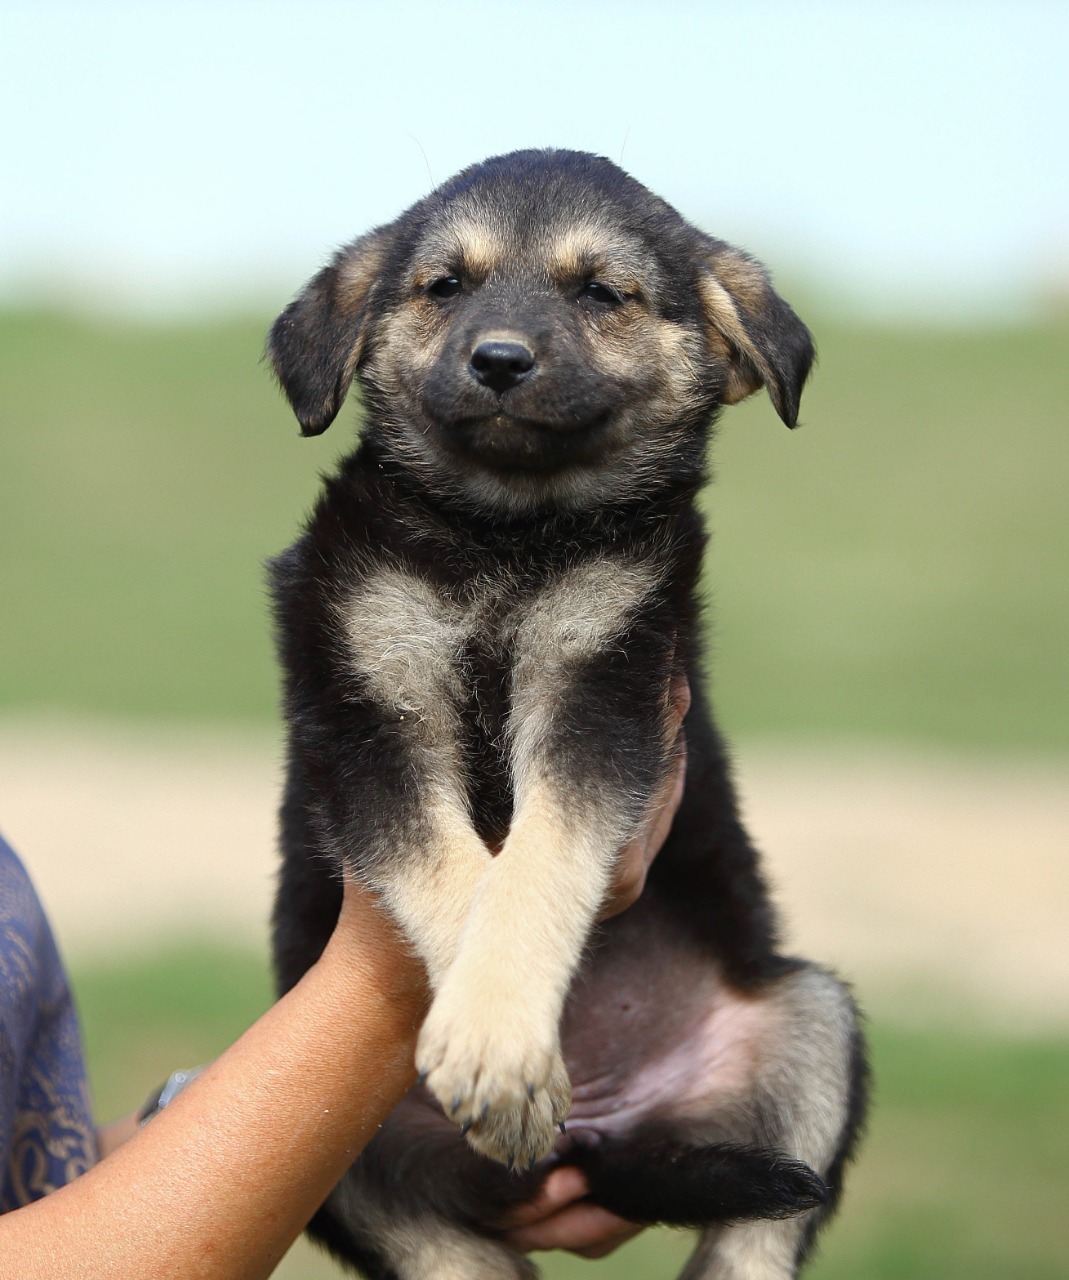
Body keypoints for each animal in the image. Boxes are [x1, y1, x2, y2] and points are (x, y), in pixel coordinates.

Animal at [267, 145, 870, 1274]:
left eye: (599, 293)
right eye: (444, 285)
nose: (499, 361)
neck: (505, 534)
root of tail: (599, 1136)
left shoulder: (601, 687)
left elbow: (537, 861)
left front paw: (497, 1037)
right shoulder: (371, 711)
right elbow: (457, 873)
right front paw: (500, 1046)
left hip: (809, 1023)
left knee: (755, 1233)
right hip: (342, 1159)